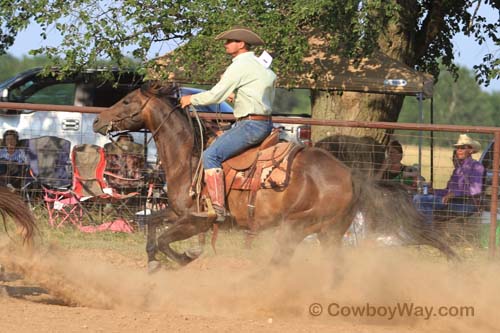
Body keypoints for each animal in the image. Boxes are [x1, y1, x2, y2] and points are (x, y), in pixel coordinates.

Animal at [92, 82, 456, 268]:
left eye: (127, 101)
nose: (97, 121)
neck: (189, 157)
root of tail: (351, 174)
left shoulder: (198, 220)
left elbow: (166, 240)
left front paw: (183, 258)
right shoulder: (177, 211)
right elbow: (152, 226)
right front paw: (155, 260)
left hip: (299, 227)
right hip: (330, 232)